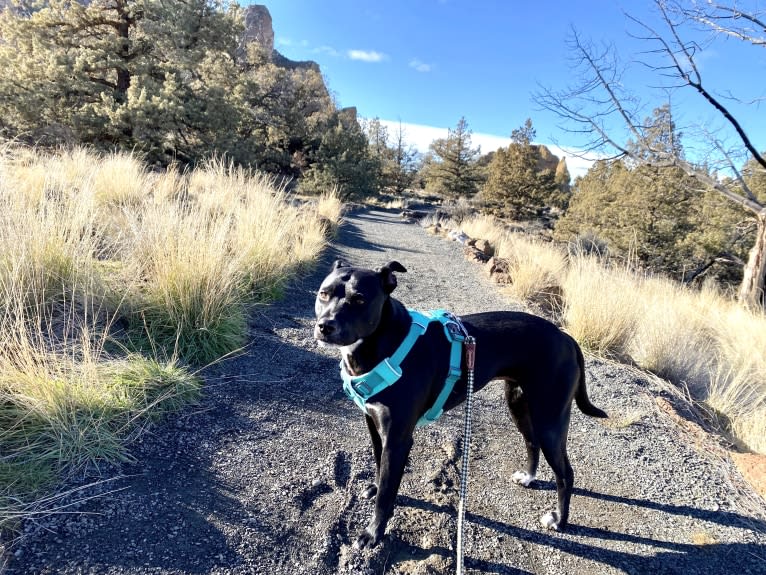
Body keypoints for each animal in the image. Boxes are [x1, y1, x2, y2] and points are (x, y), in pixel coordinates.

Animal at [316, 260, 608, 548]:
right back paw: (528, 477)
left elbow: (388, 492)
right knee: (531, 442)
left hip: (550, 419)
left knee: (565, 473)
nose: (324, 326)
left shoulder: (398, 439)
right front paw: (376, 489)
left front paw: (373, 532)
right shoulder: (375, 427)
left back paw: (559, 520)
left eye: (359, 299)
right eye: (323, 294)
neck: (385, 342)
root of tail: (566, 337)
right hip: (519, 404)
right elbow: (380, 468)